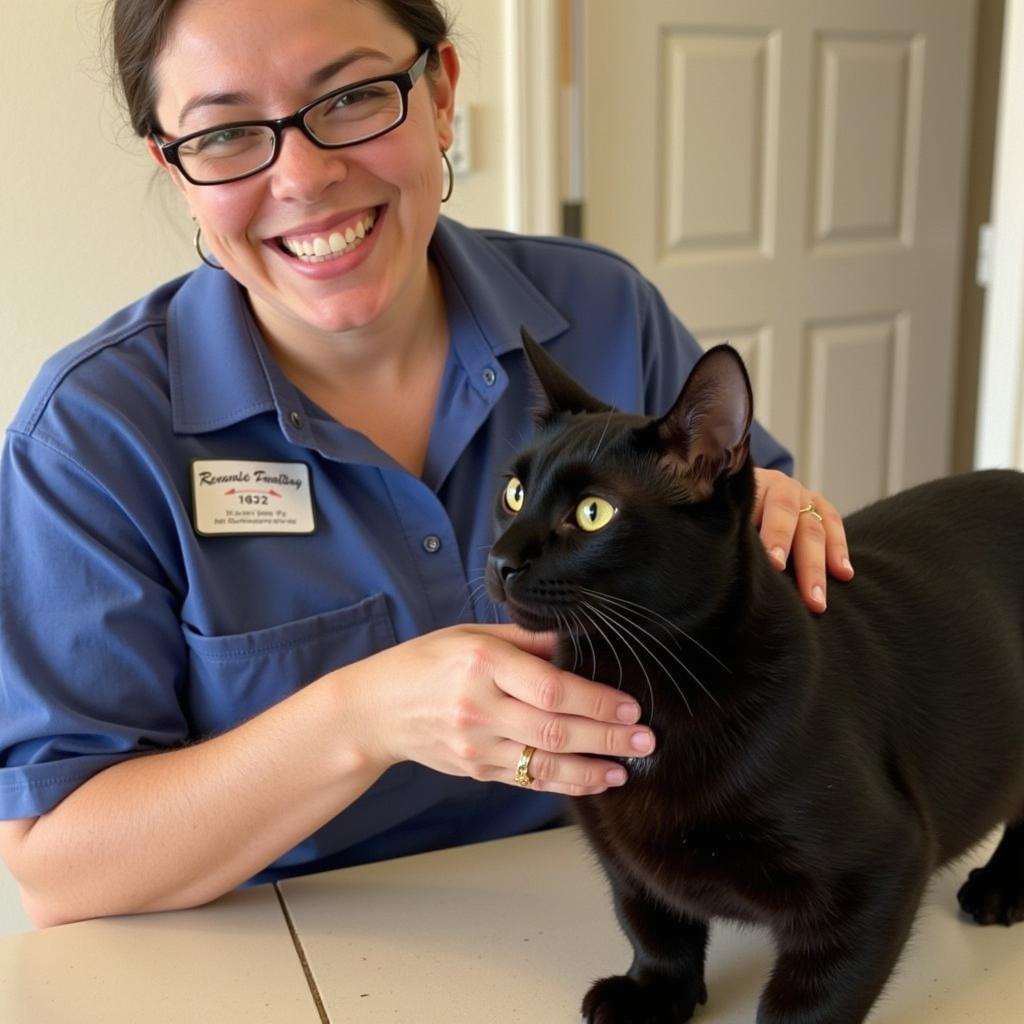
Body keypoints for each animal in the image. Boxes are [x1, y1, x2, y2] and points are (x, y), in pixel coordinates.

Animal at [485, 331, 1024, 1019]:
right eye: (514, 495)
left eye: (593, 513)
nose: (501, 559)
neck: (646, 680)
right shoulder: (621, 850)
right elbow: (652, 922)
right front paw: (653, 994)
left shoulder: (882, 868)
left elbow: (811, 1000)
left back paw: (1003, 886)